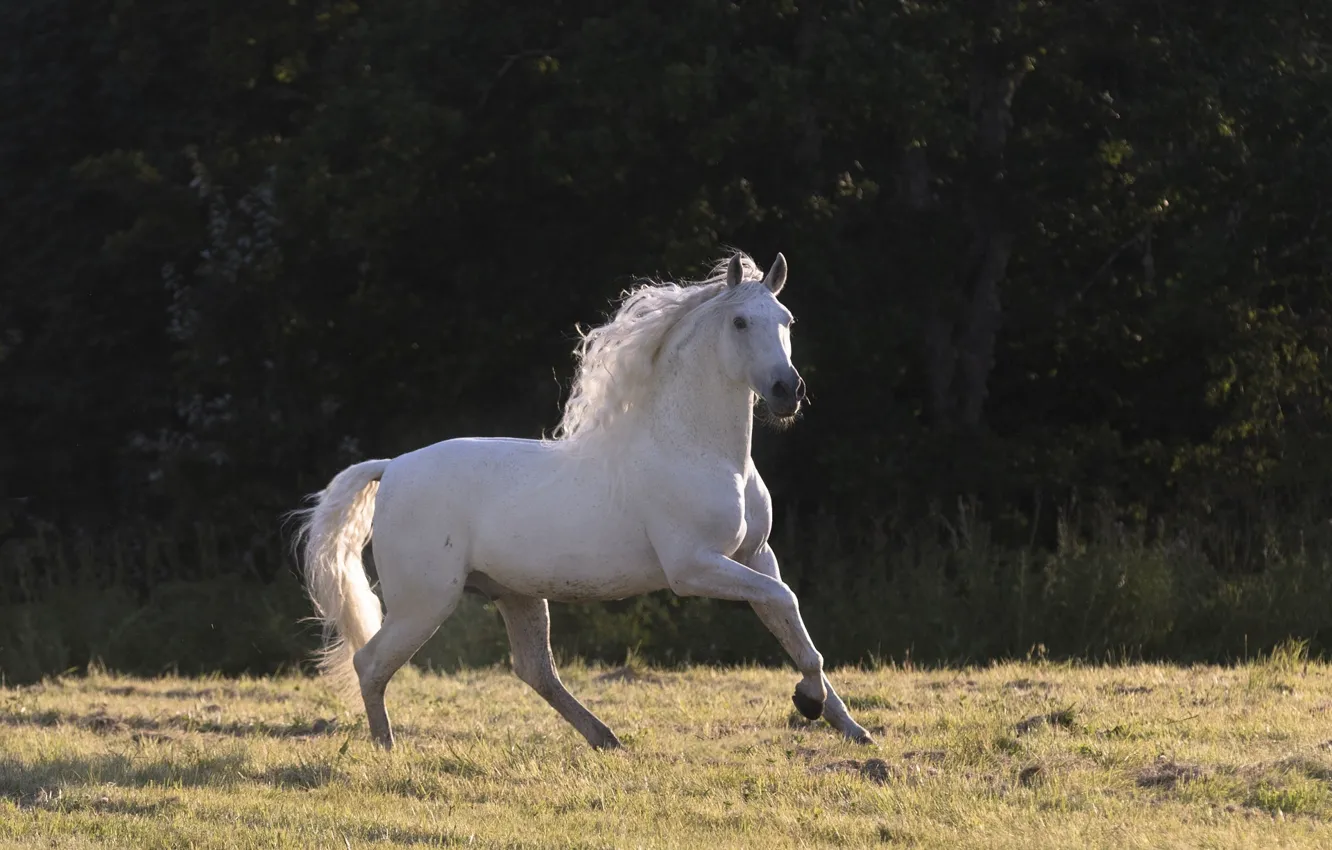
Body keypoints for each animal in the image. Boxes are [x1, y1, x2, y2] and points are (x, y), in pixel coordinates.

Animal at [292, 250, 874, 750]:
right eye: (739, 323)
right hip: (425, 601)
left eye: (787, 320)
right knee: (371, 663)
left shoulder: (755, 554)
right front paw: (808, 702)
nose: (787, 391)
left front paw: (849, 726)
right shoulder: (694, 567)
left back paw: (605, 737)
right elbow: (787, 604)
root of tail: (391, 467)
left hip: (514, 594)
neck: (700, 450)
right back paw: (387, 749)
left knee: (534, 670)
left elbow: (792, 626)